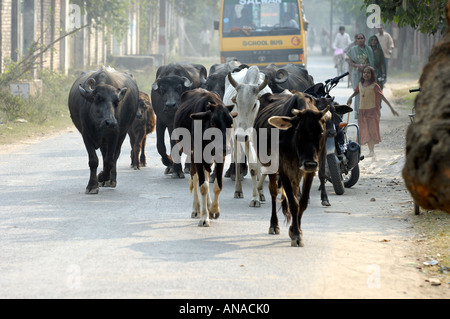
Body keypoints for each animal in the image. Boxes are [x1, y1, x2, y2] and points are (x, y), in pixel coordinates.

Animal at [68, 66, 138, 194]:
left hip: (122, 134)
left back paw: (111, 180)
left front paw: (102, 177)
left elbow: (109, 160)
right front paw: (92, 185)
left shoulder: (115, 134)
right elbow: (93, 160)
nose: (110, 123)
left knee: (114, 156)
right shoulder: (86, 135)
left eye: (116, 102)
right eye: (98, 98)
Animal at [224, 66, 272, 209]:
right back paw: (238, 190)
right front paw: (255, 198)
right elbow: (252, 167)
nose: (241, 135)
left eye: (255, 104)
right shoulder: (246, 138)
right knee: (237, 158)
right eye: (236, 102)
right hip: (235, 135)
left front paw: (261, 193)